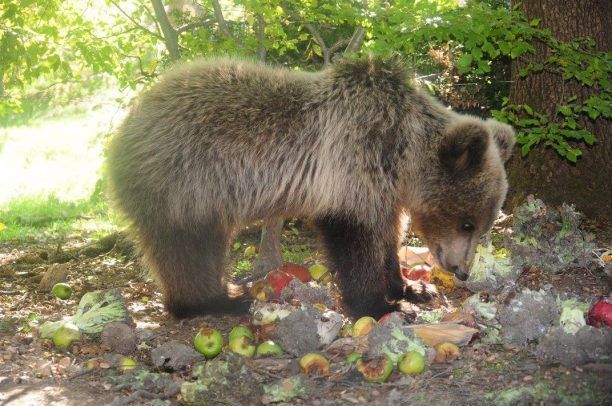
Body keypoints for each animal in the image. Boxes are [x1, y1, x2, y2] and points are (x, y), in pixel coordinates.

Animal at [107, 54, 512, 320]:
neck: (402, 156)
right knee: (186, 249)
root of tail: (126, 124)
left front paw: (411, 288)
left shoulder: (384, 189)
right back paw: (214, 301)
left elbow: (387, 238)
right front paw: (380, 305)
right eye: (467, 223)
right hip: (183, 181)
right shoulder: (353, 160)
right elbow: (354, 239)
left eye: (483, 224)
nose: (462, 270)